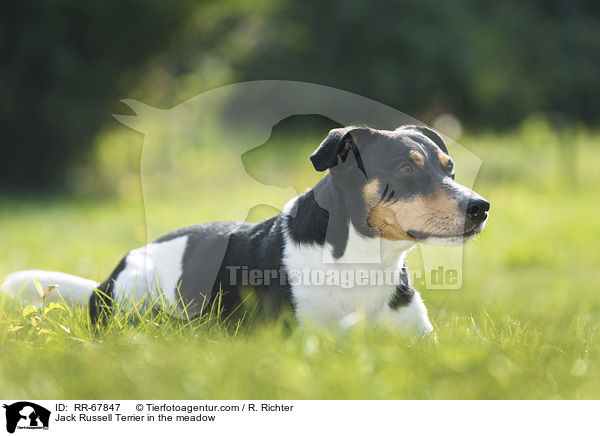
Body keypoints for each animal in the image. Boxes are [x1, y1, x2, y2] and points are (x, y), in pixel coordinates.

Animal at [2, 124, 488, 336]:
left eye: (449, 169)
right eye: (406, 168)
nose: (481, 207)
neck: (364, 262)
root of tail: (101, 284)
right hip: (136, 293)